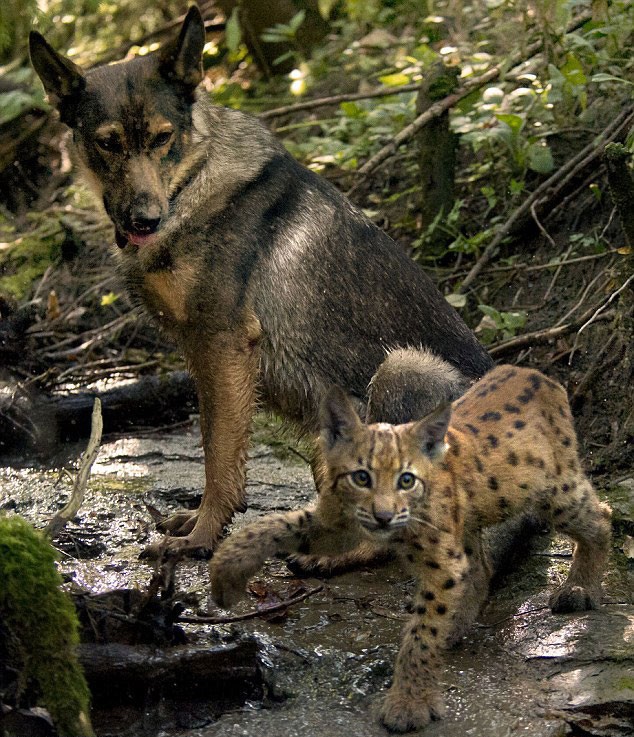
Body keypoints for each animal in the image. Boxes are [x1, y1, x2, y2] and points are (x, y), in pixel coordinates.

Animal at [29, 7, 492, 556]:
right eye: (107, 143)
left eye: (163, 138)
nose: (144, 220)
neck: (189, 185)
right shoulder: (202, 353)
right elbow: (216, 443)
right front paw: (199, 525)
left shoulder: (226, 345)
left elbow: (220, 458)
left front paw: (203, 537)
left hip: (400, 369)